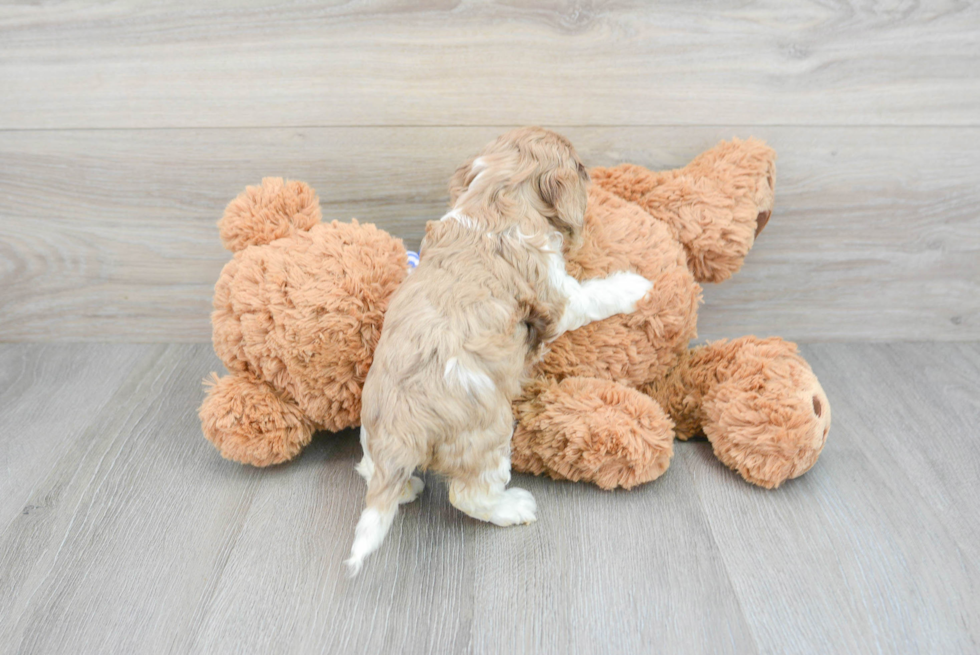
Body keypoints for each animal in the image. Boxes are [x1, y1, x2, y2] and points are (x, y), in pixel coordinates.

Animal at [348, 127, 656, 576]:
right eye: (582, 168)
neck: (494, 197)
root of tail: (400, 433)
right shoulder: (558, 296)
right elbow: (594, 296)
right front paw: (634, 285)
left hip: (371, 430)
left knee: (370, 469)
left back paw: (405, 487)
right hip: (489, 435)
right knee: (468, 494)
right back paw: (513, 507)